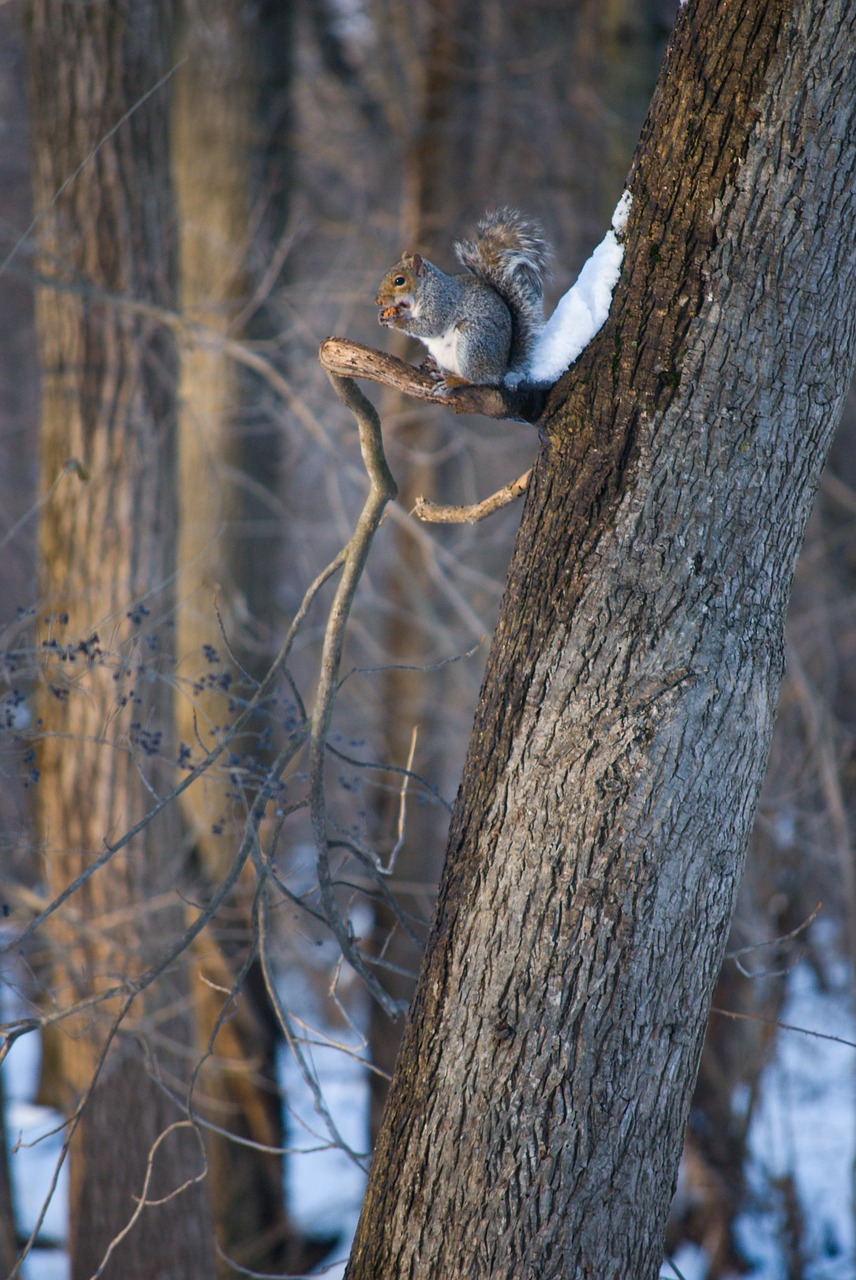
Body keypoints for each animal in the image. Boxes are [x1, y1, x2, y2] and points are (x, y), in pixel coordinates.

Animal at [371, 207, 547, 389]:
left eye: (399, 281)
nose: (378, 301)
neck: (424, 289)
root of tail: (501, 369)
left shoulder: (441, 303)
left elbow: (430, 326)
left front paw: (397, 321)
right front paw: (383, 316)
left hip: (473, 343)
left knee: (478, 379)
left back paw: (453, 381)